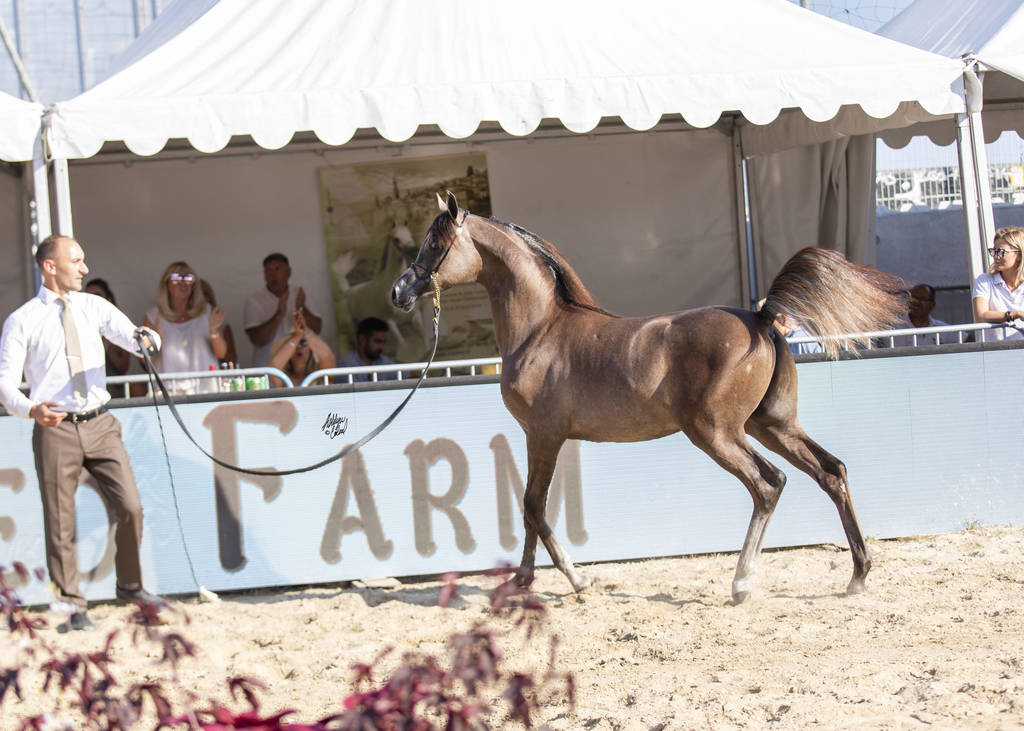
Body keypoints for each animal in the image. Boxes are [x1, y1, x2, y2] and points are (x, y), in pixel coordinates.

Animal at [391, 193, 906, 603]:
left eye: (435, 244)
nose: (399, 292)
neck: (540, 330)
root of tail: (761, 319)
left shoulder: (544, 436)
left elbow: (534, 506)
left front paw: (576, 581)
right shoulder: (541, 438)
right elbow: (529, 509)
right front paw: (522, 580)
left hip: (717, 433)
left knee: (769, 484)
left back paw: (741, 583)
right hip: (772, 425)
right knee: (831, 471)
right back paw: (858, 575)